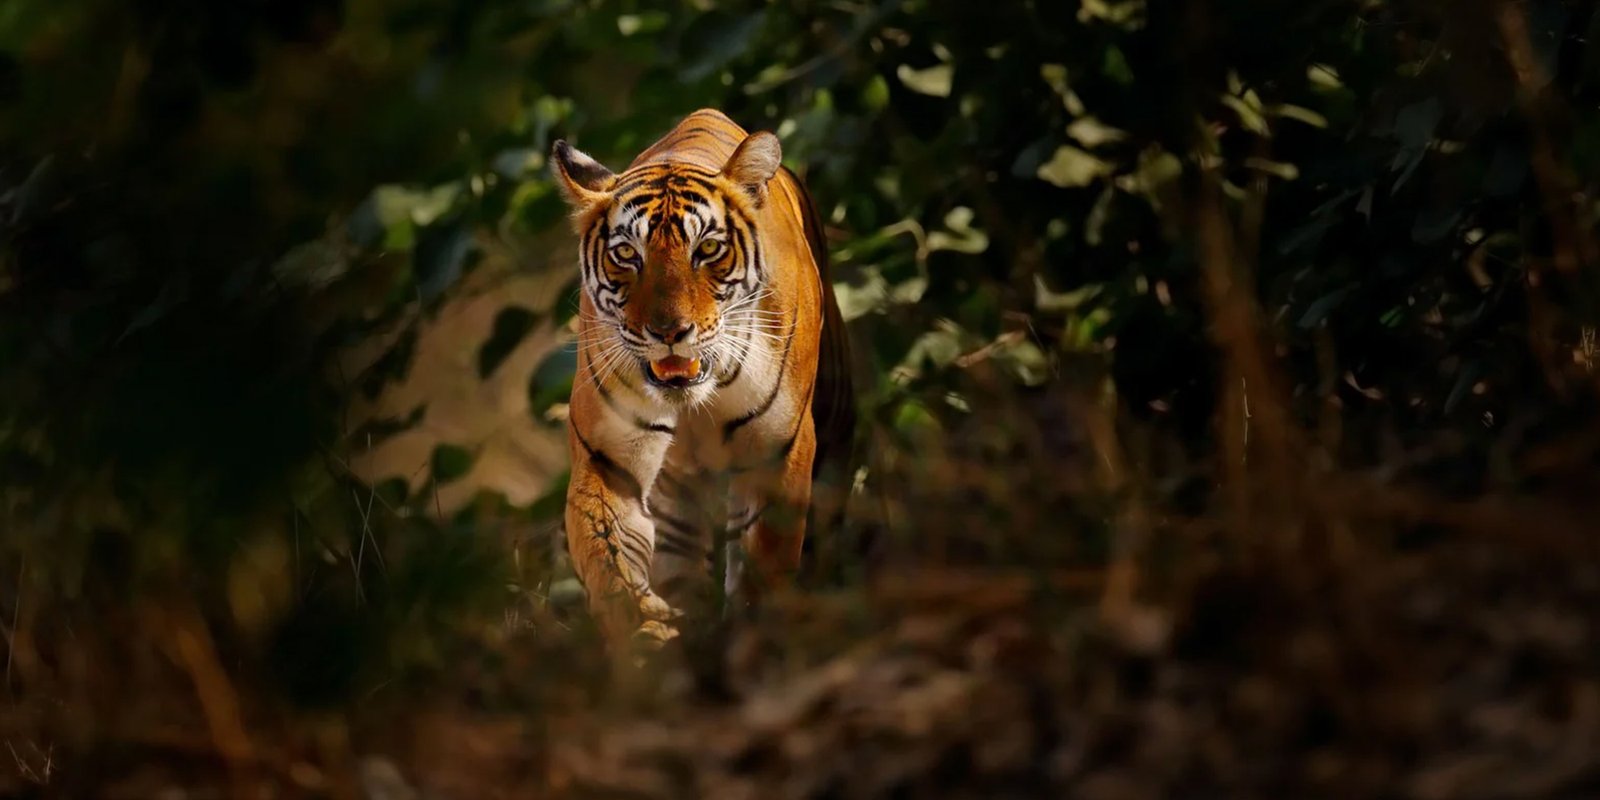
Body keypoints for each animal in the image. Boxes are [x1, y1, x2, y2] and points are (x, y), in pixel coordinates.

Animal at [550, 109, 855, 645]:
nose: (669, 332)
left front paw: (756, 632)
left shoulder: (777, 448)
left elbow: (765, 558)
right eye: (627, 255)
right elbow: (607, 552)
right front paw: (644, 627)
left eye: (708, 249)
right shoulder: (606, 456)